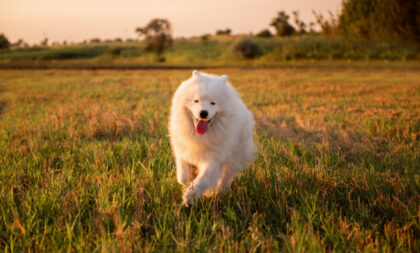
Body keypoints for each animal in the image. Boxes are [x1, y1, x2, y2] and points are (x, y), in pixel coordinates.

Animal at [168, 70, 256, 205]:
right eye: (196, 101)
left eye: (213, 103)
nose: (203, 112)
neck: (201, 135)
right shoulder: (182, 149)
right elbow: (183, 176)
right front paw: (188, 181)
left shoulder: (213, 159)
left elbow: (204, 179)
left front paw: (190, 196)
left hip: (234, 157)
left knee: (226, 177)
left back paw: (220, 192)